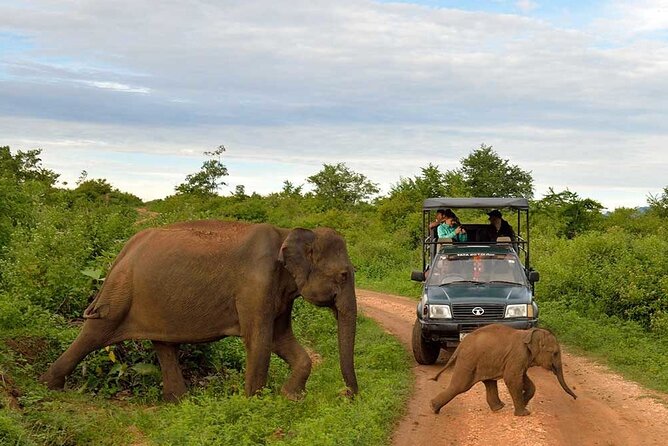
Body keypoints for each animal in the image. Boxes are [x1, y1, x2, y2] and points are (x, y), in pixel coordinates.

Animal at [40, 220, 359, 401]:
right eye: (344, 275)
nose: (347, 396)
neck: (288, 233)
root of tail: (125, 248)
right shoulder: (256, 284)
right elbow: (259, 340)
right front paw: (255, 404)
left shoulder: (279, 292)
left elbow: (281, 340)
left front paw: (290, 398)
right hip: (120, 292)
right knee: (95, 332)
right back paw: (47, 387)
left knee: (163, 344)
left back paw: (178, 402)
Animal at [430, 324, 576, 416]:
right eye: (555, 353)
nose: (575, 398)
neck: (529, 333)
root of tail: (460, 346)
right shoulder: (518, 355)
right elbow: (512, 378)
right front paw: (524, 413)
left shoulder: (521, 359)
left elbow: (523, 378)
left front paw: (524, 402)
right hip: (468, 360)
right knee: (460, 386)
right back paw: (433, 408)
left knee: (489, 382)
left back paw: (498, 407)